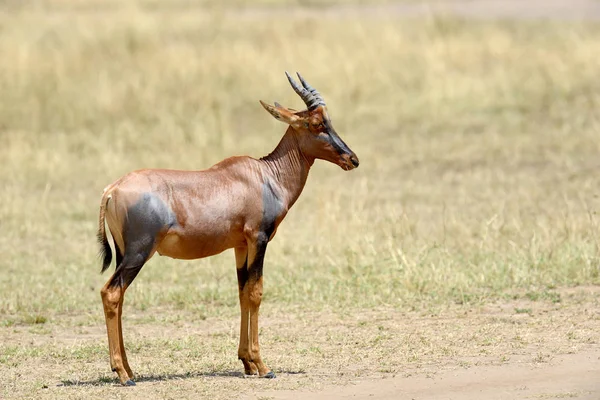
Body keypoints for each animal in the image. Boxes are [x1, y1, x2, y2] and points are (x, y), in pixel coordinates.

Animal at [96, 72, 358, 384]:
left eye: (329, 120)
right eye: (316, 123)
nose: (352, 159)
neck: (264, 176)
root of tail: (112, 189)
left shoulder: (240, 246)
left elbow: (243, 292)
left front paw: (247, 362)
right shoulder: (259, 239)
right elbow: (256, 292)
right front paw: (264, 366)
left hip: (125, 254)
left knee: (120, 297)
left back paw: (129, 368)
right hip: (139, 252)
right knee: (111, 293)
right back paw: (123, 374)